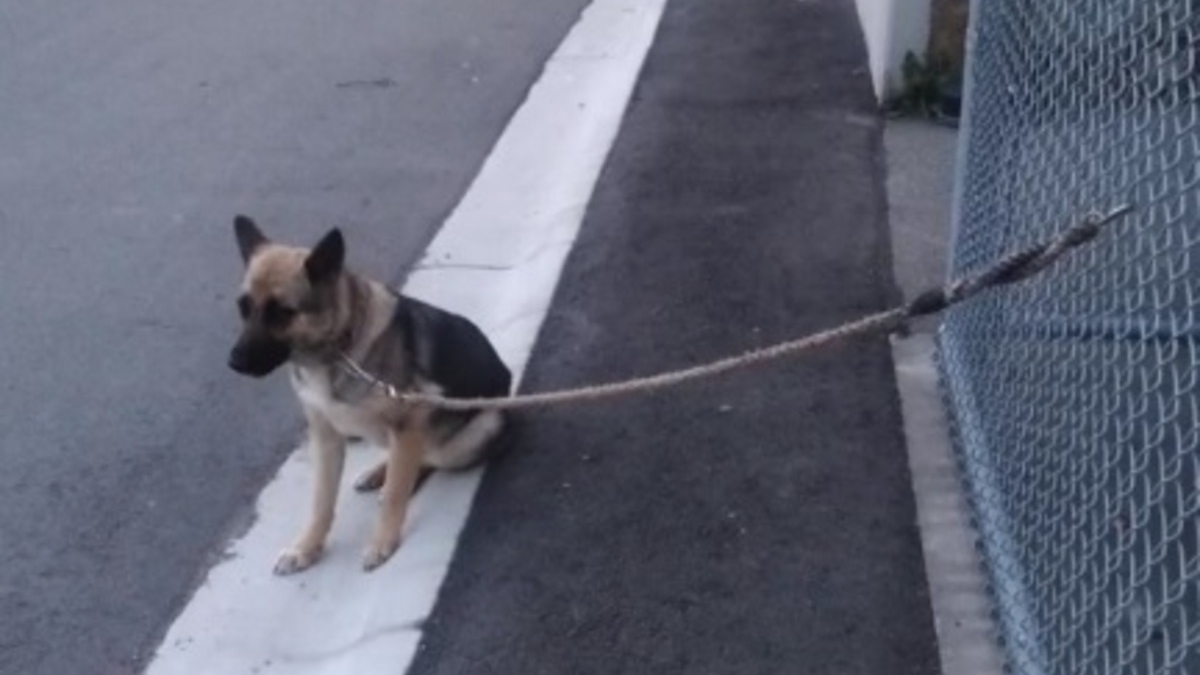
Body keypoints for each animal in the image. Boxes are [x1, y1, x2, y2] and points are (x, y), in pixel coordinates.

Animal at [226, 214, 513, 571]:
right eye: (244, 308)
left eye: (281, 312)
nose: (234, 362)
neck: (337, 350)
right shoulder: (326, 438)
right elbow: (321, 502)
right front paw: (306, 547)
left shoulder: (408, 425)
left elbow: (395, 495)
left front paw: (382, 541)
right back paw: (379, 472)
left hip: (480, 428)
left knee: (429, 457)